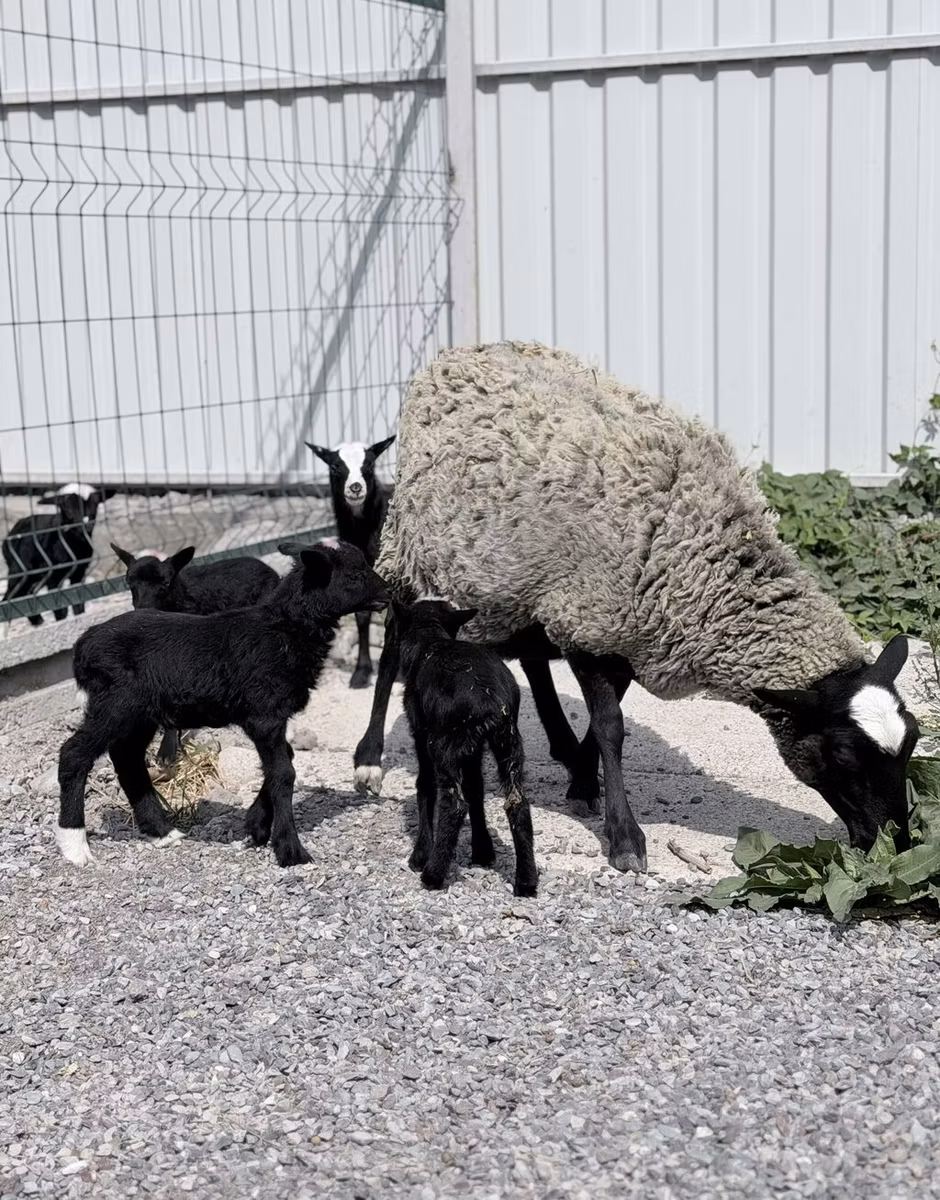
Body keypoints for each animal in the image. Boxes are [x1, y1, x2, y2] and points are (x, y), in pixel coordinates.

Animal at [2, 483, 115, 625]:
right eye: (67, 508)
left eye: (96, 504)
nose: (86, 524)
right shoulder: (53, 576)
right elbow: (59, 608)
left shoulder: (79, 572)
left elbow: (78, 600)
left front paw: (79, 616)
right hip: (19, 570)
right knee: (10, 596)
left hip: (34, 576)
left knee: (26, 594)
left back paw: (37, 621)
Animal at [395, 598, 538, 897]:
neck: (430, 640)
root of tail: (490, 701)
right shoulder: (474, 747)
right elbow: (476, 788)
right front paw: (483, 851)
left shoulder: (421, 733)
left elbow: (424, 786)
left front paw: (420, 854)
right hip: (508, 741)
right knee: (517, 802)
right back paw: (526, 881)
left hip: (444, 743)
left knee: (454, 803)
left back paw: (433, 875)